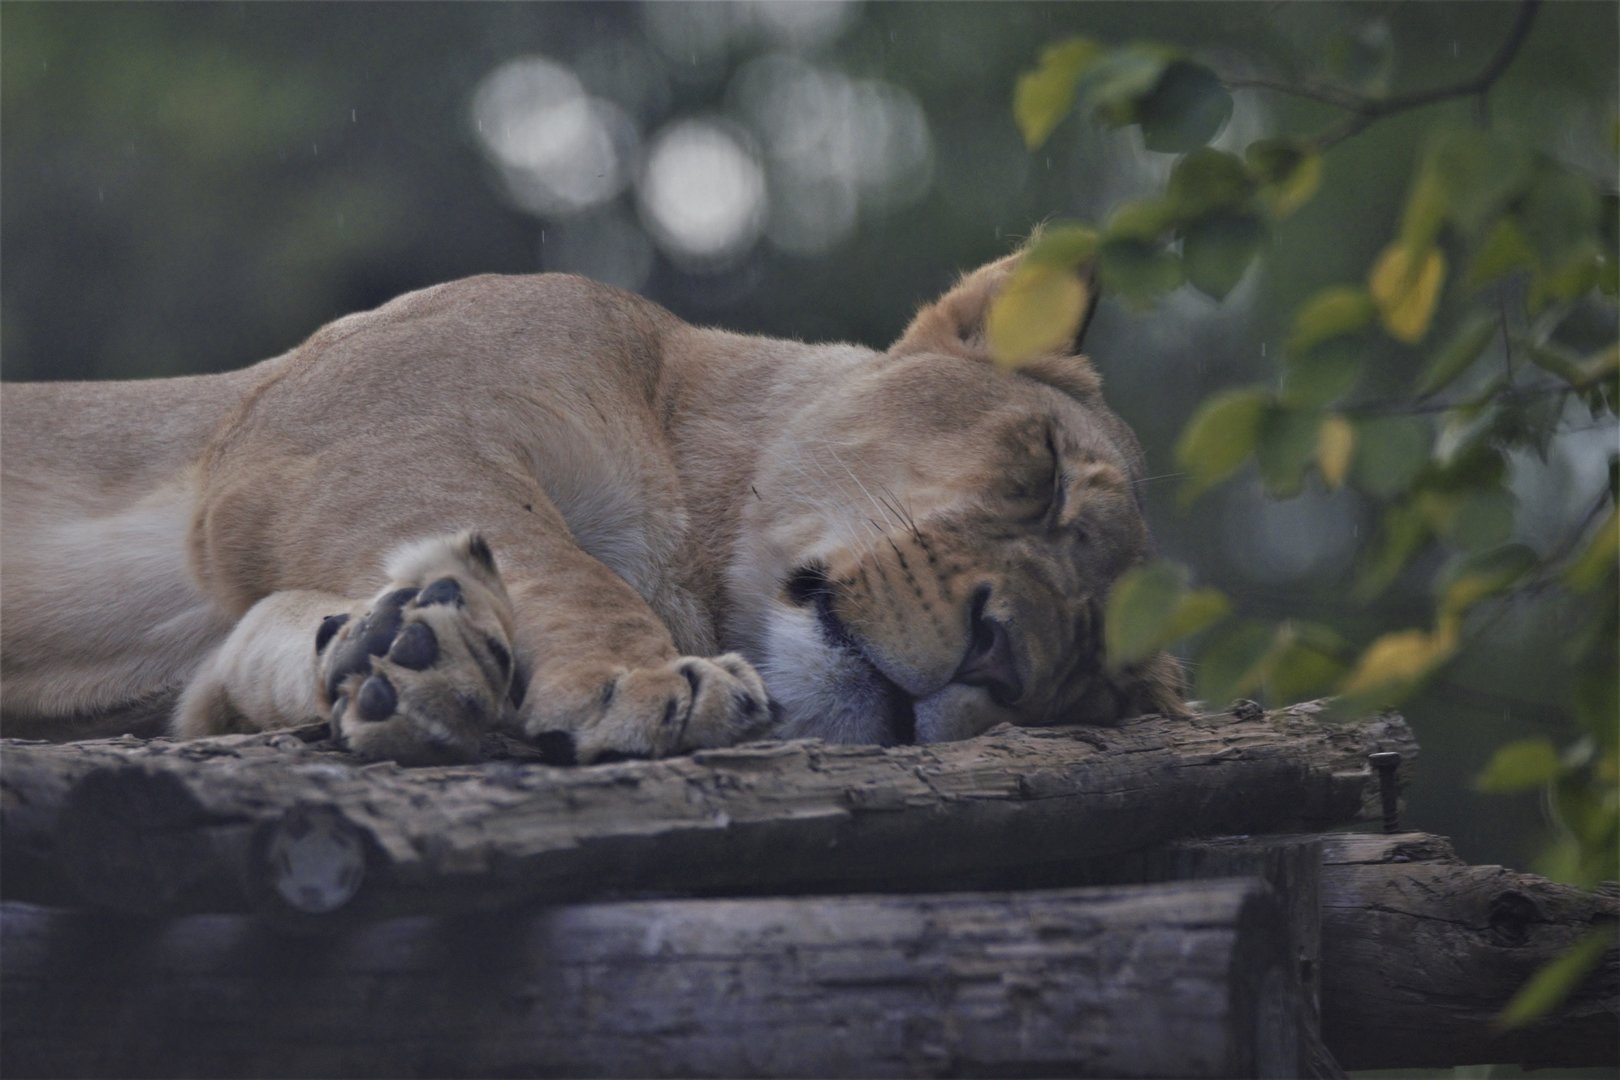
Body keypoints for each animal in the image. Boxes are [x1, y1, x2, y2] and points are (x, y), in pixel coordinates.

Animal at [0, 246, 1185, 764]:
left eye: (1088, 679)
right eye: (1044, 470)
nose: (1000, 656)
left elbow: (266, 645)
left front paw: (405, 656)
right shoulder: (355, 426)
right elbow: (557, 556)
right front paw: (644, 678)